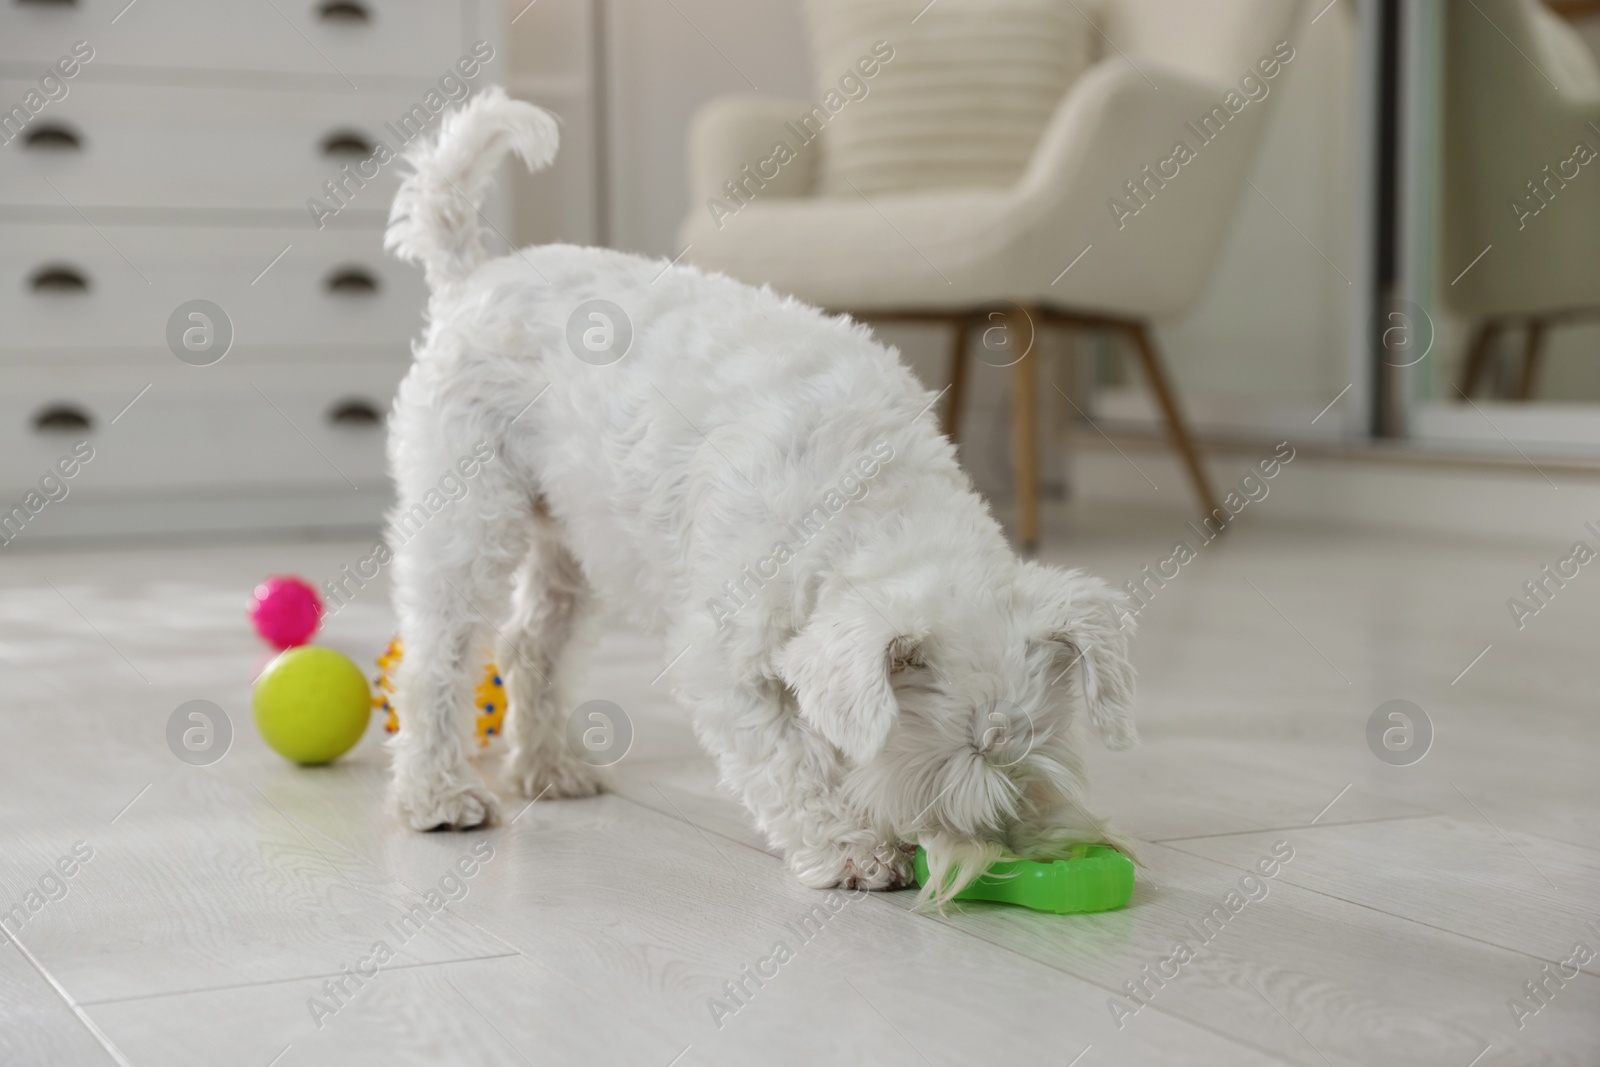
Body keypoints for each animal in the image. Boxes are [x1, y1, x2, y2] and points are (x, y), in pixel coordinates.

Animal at [384, 89, 1139, 902]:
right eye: (959, 750)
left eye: (1036, 743)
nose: (1019, 847)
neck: (867, 496)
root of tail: (473, 278)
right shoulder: (725, 659)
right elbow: (789, 759)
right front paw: (850, 848)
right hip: (467, 515)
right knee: (437, 658)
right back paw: (437, 795)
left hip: (573, 538)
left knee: (530, 644)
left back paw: (548, 767)